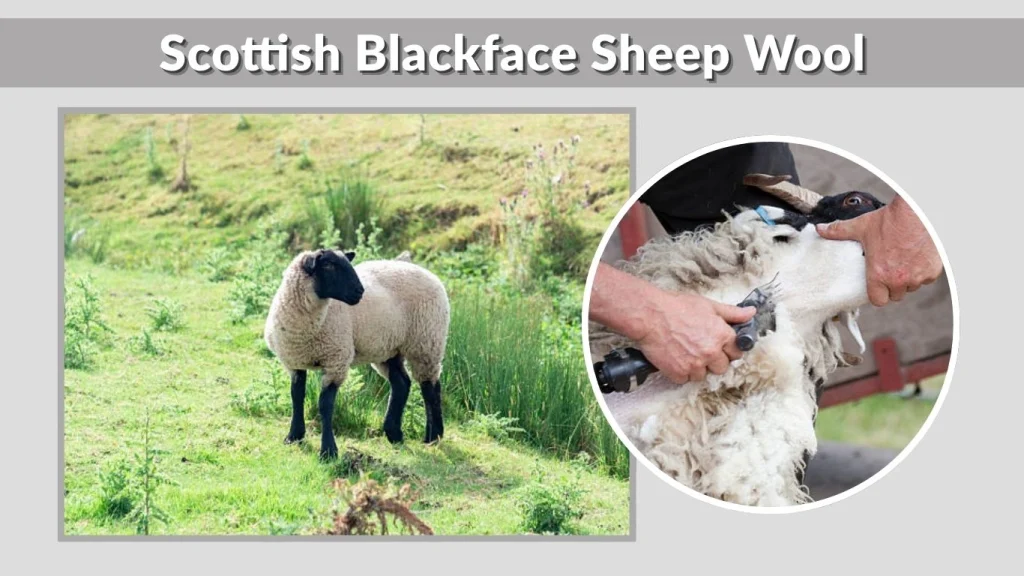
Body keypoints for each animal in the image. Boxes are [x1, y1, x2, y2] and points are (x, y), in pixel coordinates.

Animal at [263, 248, 450, 460]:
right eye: (328, 265)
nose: (359, 291)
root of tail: (430, 274)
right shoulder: (294, 362)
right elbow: (296, 397)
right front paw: (294, 436)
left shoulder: (336, 361)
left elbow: (325, 405)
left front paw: (328, 451)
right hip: (389, 348)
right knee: (402, 383)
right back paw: (394, 433)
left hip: (426, 343)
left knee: (430, 387)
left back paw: (433, 436)